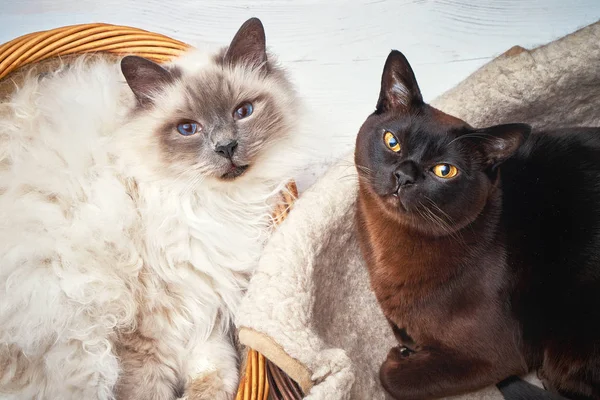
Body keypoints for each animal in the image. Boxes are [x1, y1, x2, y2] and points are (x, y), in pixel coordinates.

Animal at [0, 17, 300, 398]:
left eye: (242, 112)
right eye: (188, 128)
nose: (226, 147)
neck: (213, 205)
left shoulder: (207, 312)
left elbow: (215, 378)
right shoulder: (147, 336)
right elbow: (151, 388)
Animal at [356, 50, 600, 400]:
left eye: (445, 171)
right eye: (393, 142)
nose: (404, 176)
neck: (389, 244)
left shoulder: (495, 357)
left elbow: (394, 378)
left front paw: (400, 357)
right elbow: (402, 330)